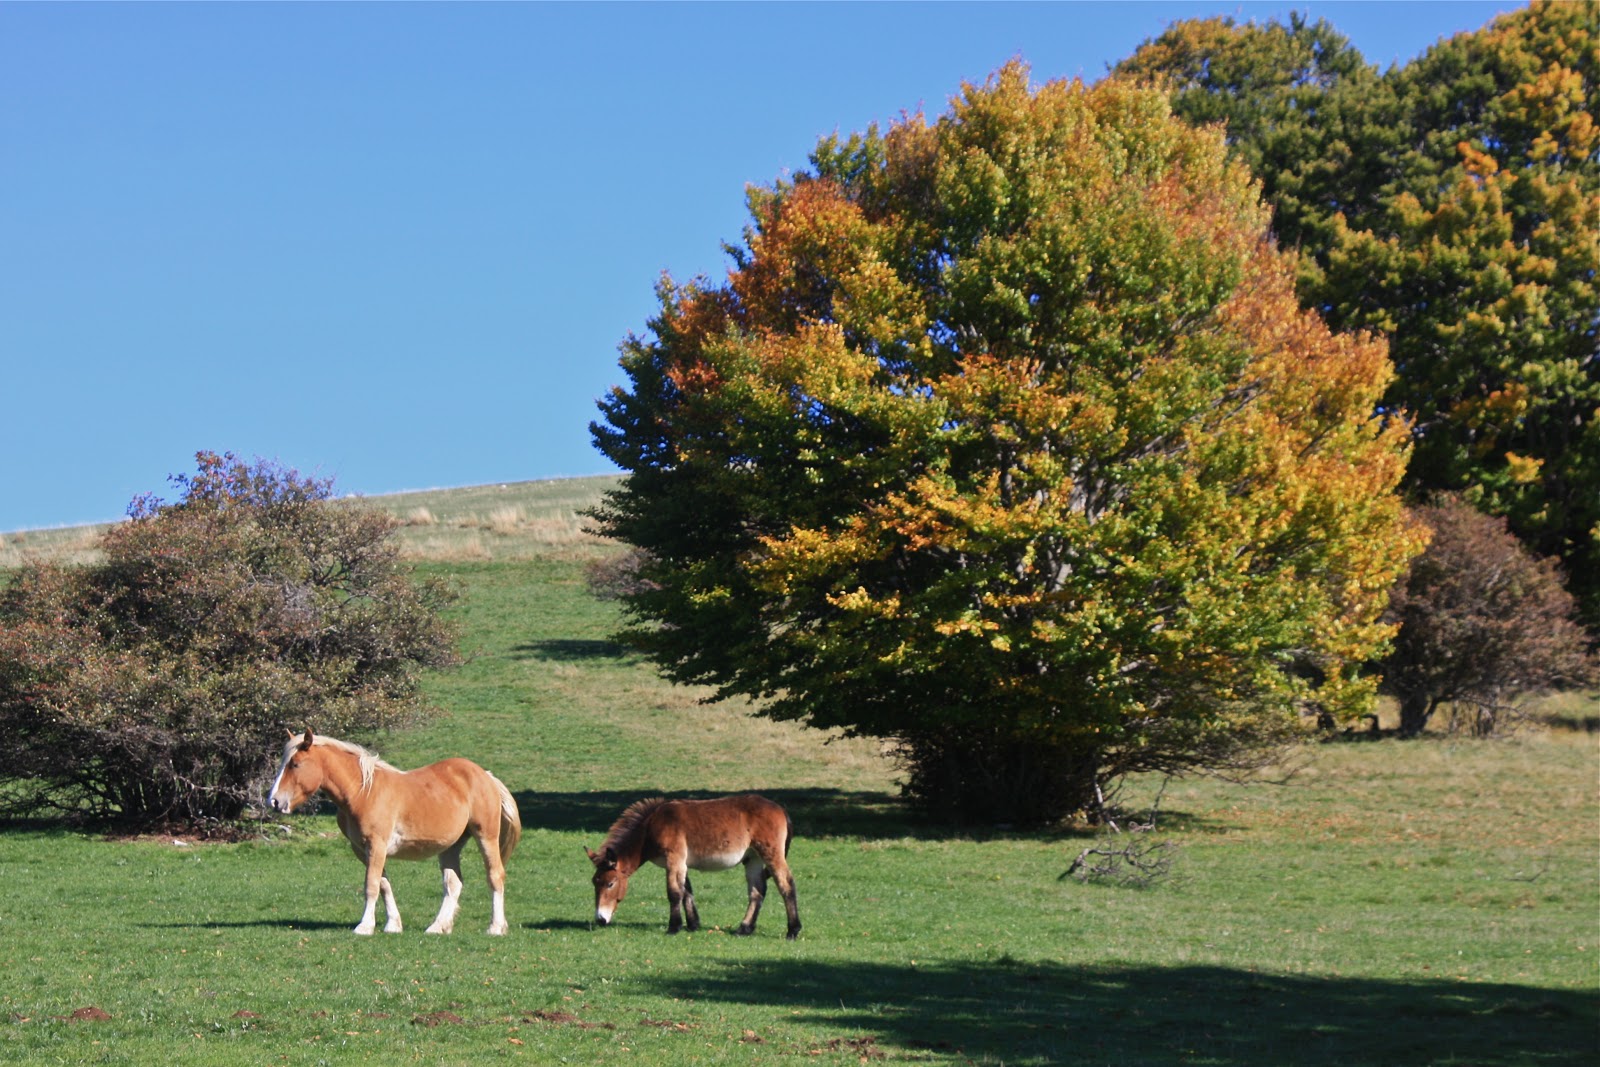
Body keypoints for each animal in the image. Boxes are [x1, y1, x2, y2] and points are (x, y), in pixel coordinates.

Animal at [266, 729, 521, 936]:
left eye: (295, 764)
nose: (274, 801)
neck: (363, 792)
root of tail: (485, 775)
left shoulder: (376, 845)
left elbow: (371, 885)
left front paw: (364, 926)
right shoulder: (363, 850)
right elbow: (383, 884)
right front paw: (393, 925)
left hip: (486, 836)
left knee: (495, 876)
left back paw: (496, 927)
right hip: (450, 846)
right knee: (453, 884)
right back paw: (438, 927)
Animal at [585, 794, 800, 939]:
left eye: (610, 884)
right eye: (594, 882)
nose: (600, 919)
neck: (651, 827)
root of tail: (779, 808)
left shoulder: (674, 859)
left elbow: (674, 893)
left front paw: (673, 927)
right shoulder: (681, 863)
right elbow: (686, 892)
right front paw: (692, 925)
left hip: (771, 854)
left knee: (786, 885)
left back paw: (793, 930)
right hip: (753, 859)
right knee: (757, 892)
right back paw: (744, 929)